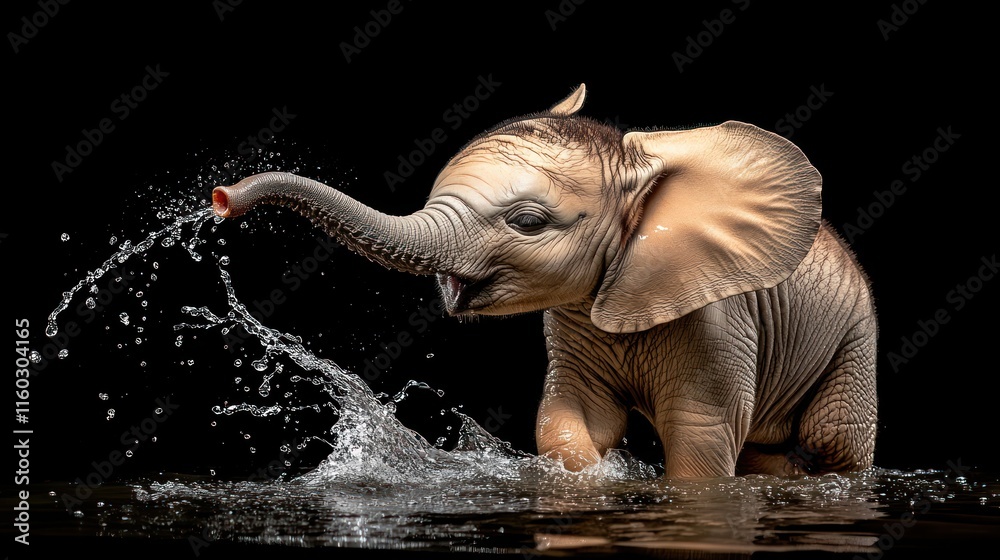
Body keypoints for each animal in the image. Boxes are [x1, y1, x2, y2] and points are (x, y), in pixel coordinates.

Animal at [211, 84, 878, 478]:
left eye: (527, 223)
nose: (221, 199)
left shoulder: (716, 316)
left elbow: (702, 435)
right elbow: (567, 417)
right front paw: (597, 479)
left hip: (856, 335)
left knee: (832, 442)